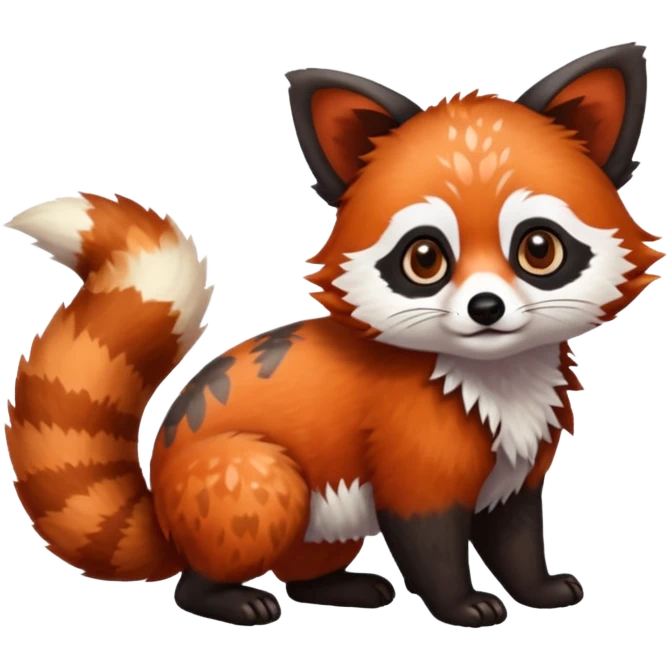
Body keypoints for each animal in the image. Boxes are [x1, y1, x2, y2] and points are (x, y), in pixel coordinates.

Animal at [3, 43, 661, 629]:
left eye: (538, 248)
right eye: (425, 258)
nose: (486, 307)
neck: (497, 386)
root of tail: (162, 513)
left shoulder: (515, 477)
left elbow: (517, 544)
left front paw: (539, 591)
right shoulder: (413, 471)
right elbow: (433, 552)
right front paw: (461, 608)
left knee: (303, 574)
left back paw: (344, 589)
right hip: (258, 477)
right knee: (195, 581)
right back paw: (233, 602)